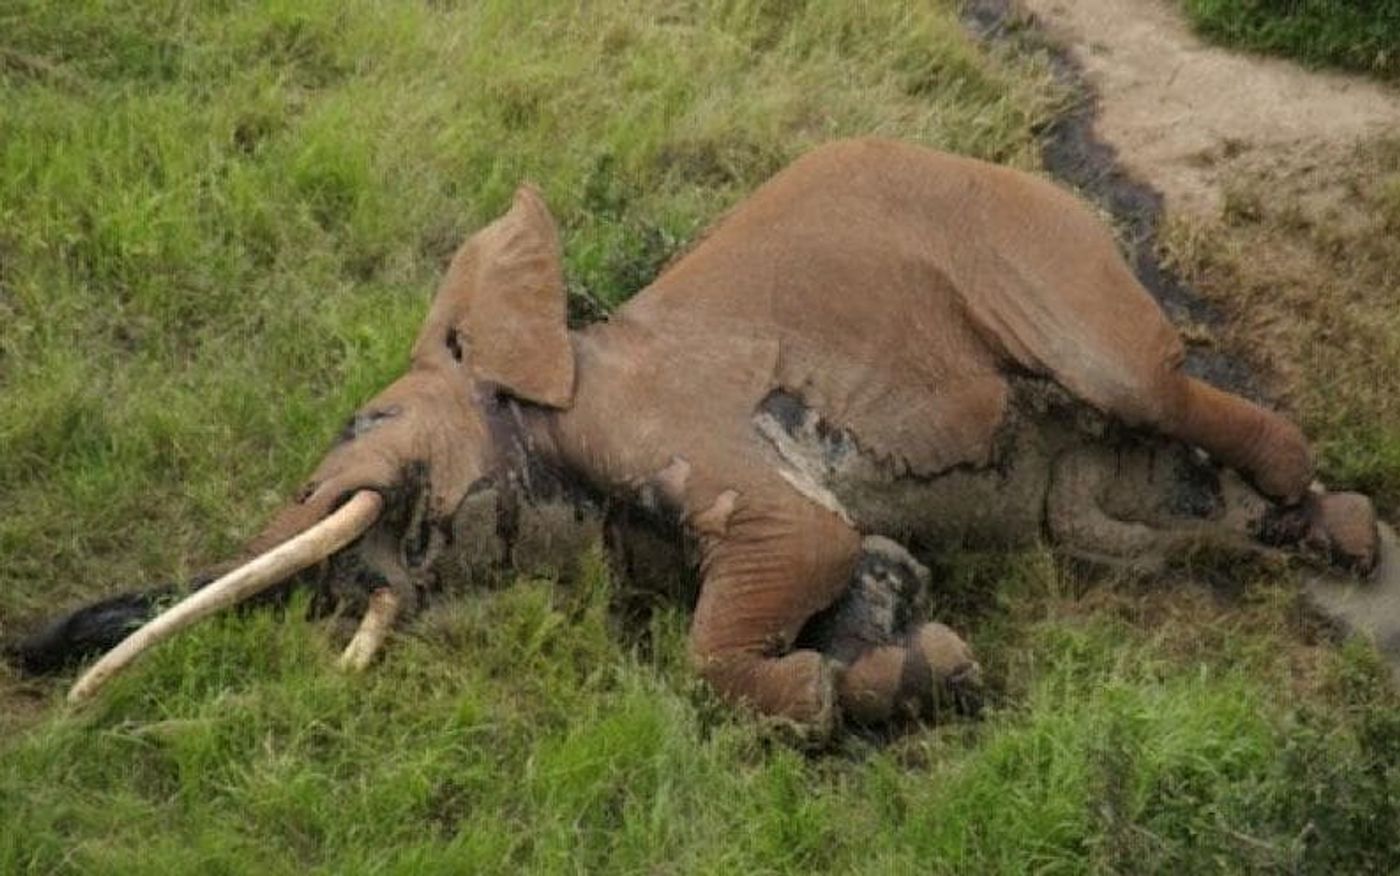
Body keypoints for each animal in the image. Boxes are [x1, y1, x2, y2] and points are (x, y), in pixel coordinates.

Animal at [10, 137, 1388, 738]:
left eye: (365, 426)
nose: (38, 656)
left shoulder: (666, 424)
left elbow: (790, 555)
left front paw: (843, 694)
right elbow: (869, 565)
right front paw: (914, 671)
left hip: (1042, 260)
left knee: (1144, 383)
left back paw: (1342, 536)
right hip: (1079, 493)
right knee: (1106, 523)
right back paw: (1270, 540)